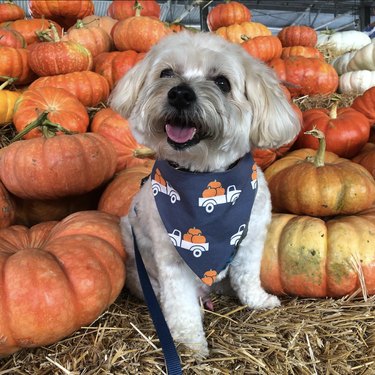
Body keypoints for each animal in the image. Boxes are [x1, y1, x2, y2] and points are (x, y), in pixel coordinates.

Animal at [110, 31, 302, 358]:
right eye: (166, 73)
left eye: (222, 82)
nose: (180, 94)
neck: (202, 176)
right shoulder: (171, 259)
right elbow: (180, 305)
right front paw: (189, 342)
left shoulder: (250, 240)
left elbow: (247, 276)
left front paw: (258, 301)